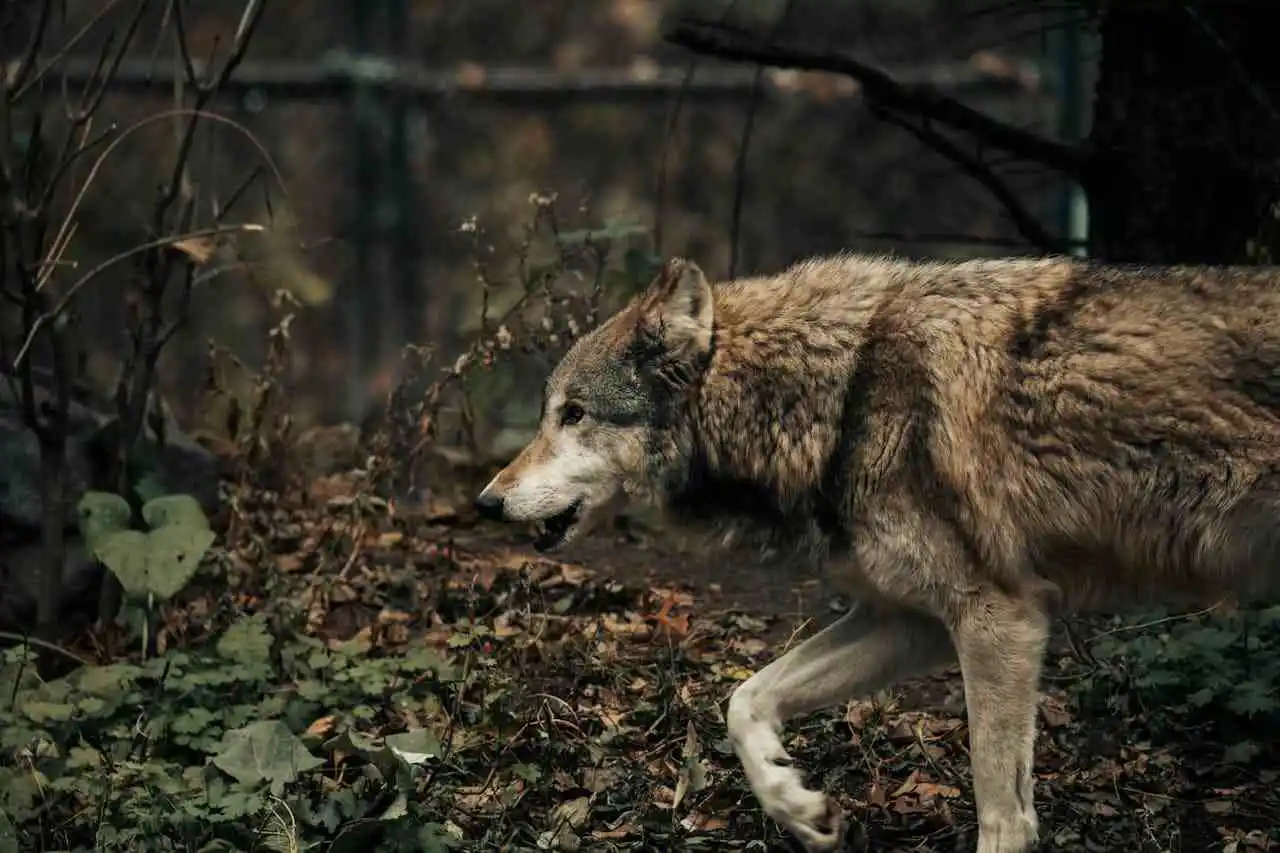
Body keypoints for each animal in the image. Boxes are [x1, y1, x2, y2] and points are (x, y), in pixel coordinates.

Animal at [471, 252, 1280, 850]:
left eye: (573, 413)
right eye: (551, 413)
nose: (486, 501)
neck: (841, 394)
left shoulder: (1001, 619)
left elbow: (1002, 814)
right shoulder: (910, 621)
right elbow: (745, 699)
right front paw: (796, 806)